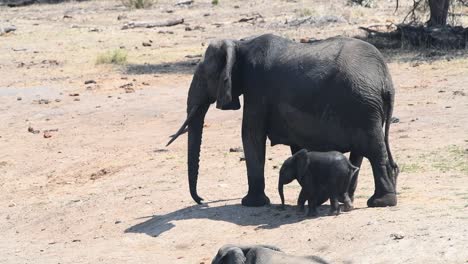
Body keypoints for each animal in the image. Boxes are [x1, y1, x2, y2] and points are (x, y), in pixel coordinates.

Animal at [167, 34, 398, 208]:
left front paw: (251, 204)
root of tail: (385, 80)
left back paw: (381, 202)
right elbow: (295, 145)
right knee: (361, 152)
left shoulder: (257, 88)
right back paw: (350, 199)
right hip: (364, 108)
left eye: (204, 77)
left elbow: (251, 134)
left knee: (373, 150)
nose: (202, 200)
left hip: (362, 105)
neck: (241, 45)